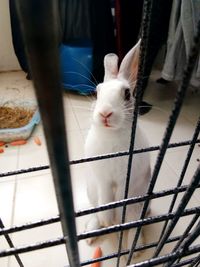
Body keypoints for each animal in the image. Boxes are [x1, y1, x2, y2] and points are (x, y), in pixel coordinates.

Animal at [83, 38, 151, 258]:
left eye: (128, 93)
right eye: (97, 93)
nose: (105, 113)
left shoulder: (126, 181)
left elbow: (120, 199)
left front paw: (116, 219)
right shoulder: (102, 181)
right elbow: (106, 201)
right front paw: (108, 220)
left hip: (139, 205)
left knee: (134, 225)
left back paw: (134, 249)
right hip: (91, 191)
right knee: (96, 211)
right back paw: (92, 232)